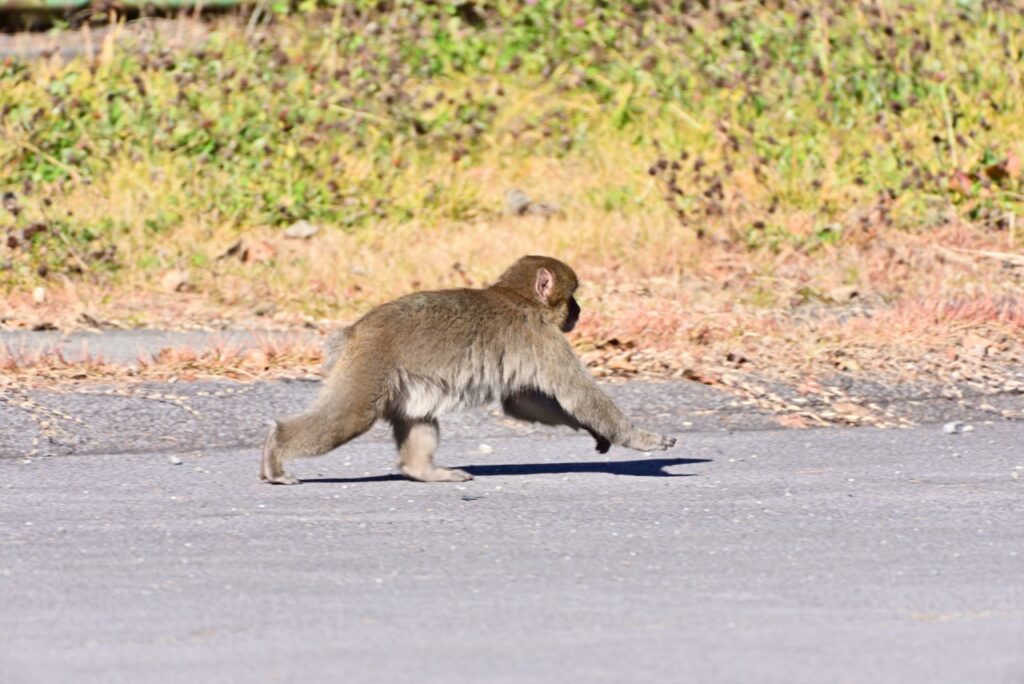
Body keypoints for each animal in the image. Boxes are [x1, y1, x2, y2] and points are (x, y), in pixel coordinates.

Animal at [260, 255, 676, 485]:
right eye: (571, 296)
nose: (578, 311)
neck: (517, 297)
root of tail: (355, 331)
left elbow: (523, 403)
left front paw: (597, 432)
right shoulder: (542, 337)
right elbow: (576, 394)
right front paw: (639, 437)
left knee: (418, 416)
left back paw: (422, 471)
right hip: (369, 368)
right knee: (349, 416)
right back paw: (277, 450)